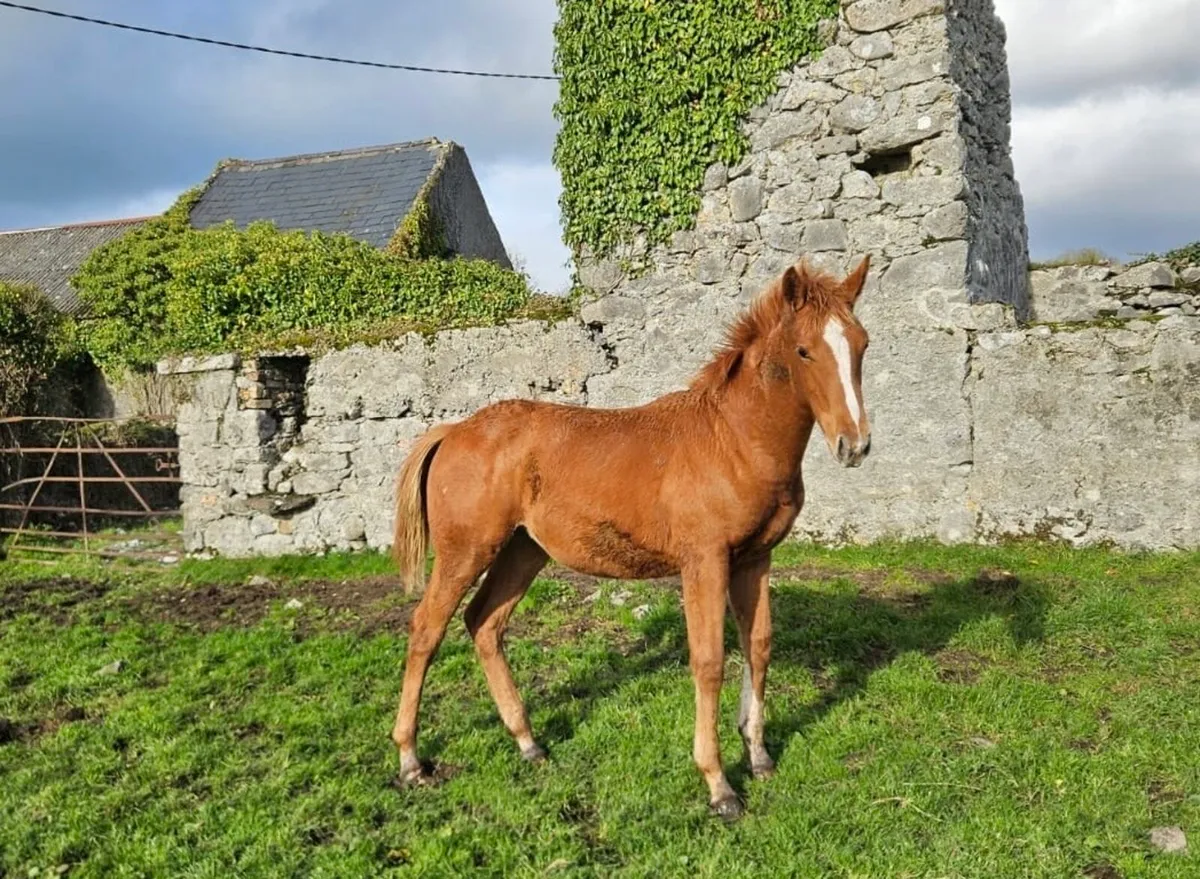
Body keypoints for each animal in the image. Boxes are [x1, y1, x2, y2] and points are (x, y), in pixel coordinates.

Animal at [389, 255, 873, 821]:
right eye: (803, 350)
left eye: (862, 344)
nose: (855, 445)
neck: (734, 439)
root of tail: (452, 431)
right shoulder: (704, 560)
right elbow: (708, 660)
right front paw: (719, 785)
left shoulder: (755, 560)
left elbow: (758, 646)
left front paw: (758, 755)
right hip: (466, 551)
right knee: (426, 629)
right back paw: (410, 759)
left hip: (523, 550)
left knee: (484, 622)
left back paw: (528, 742)